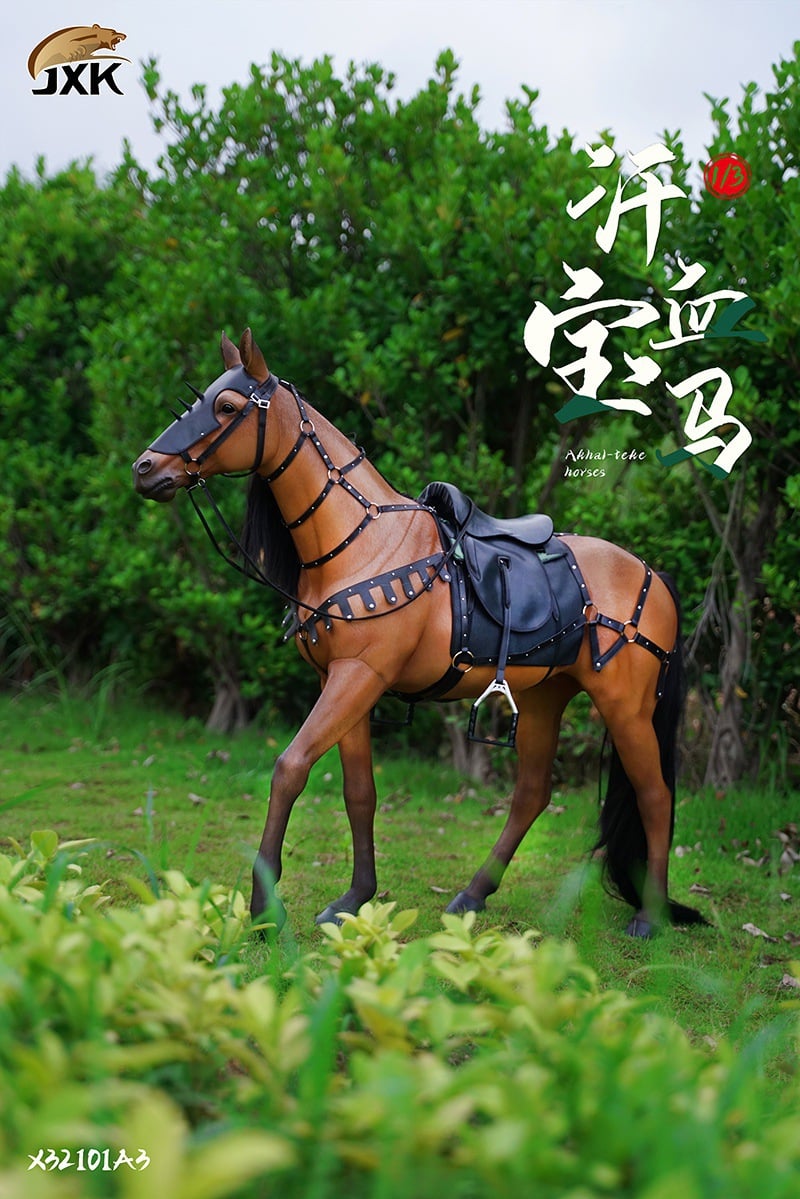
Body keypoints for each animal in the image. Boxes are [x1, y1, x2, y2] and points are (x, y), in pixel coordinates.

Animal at [132, 328, 706, 938]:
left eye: (226, 406)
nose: (144, 468)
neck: (360, 541)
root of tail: (653, 575)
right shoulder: (344, 682)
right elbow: (360, 793)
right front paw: (355, 897)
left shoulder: (358, 676)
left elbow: (290, 768)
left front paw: (264, 908)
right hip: (544, 695)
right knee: (532, 794)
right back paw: (473, 895)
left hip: (625, 706)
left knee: (654, 795)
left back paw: (650, 916)